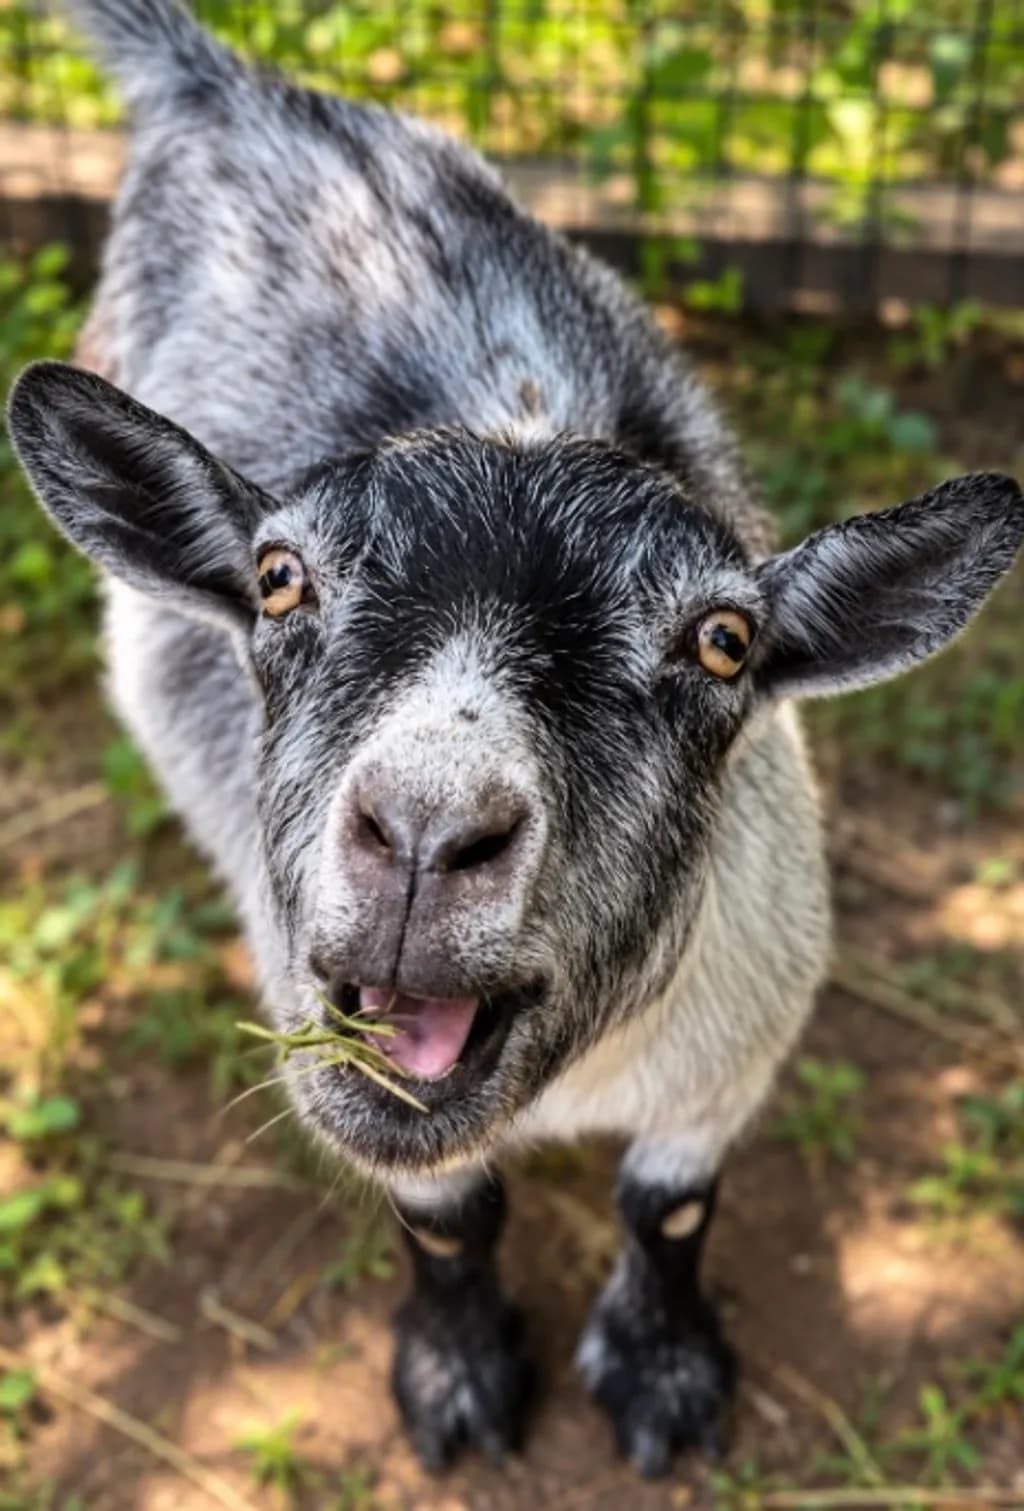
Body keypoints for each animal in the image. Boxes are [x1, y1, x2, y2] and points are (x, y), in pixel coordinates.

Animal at [7, 0, 1023, 1477]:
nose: (427, 831)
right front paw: (459, 1378)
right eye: (277, 579)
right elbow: (450, 1218)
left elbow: (667, 1206)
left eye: (723, 642)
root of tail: (225, 83)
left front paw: (662, 1377)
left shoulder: (734, 1049)